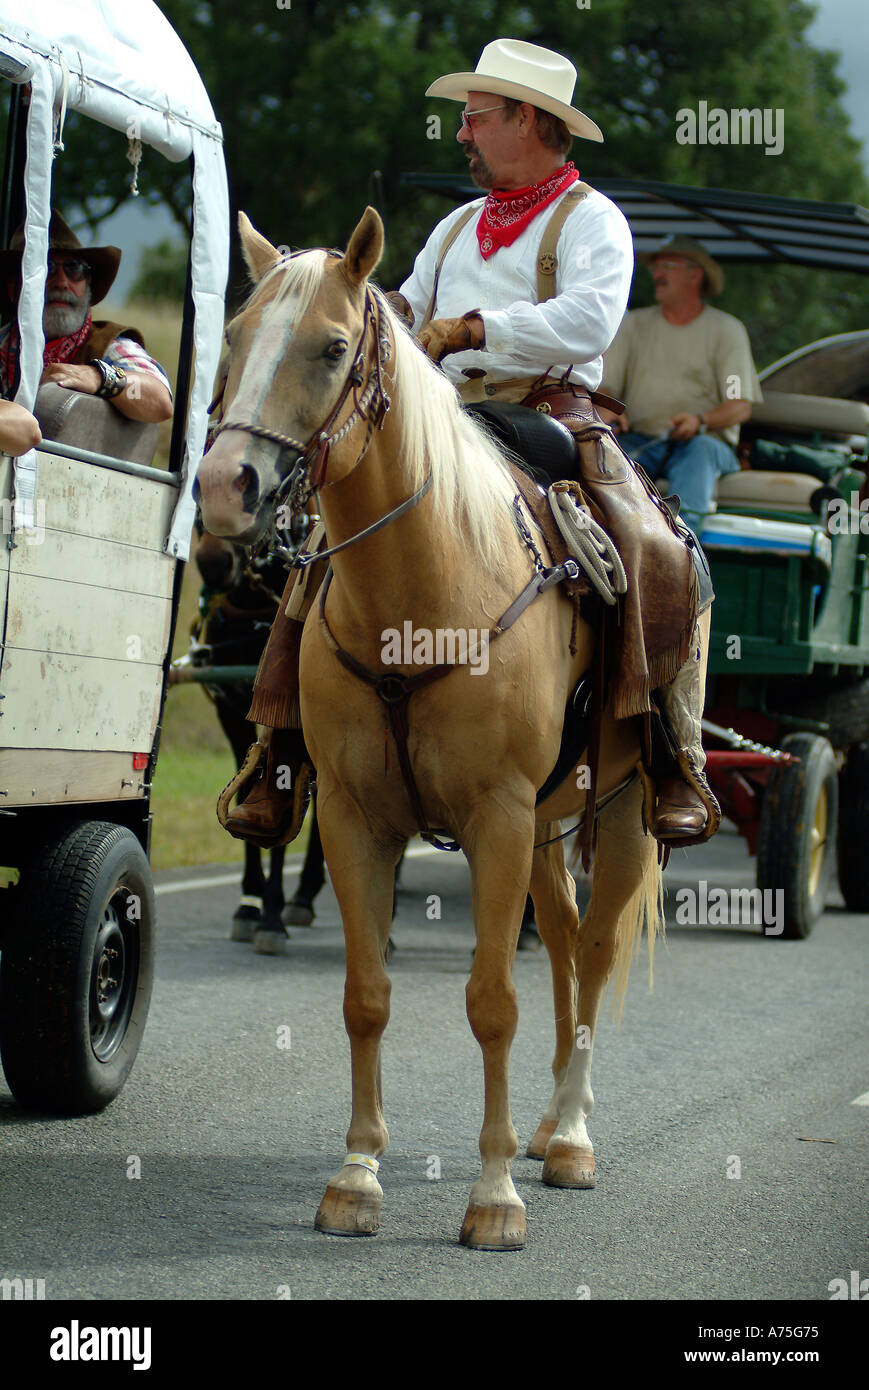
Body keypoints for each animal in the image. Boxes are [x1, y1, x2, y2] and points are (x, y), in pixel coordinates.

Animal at [196, 207, 664, 1251]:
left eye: (332, 347)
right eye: (234, 339)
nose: (222, 493)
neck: (425, 590)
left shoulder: (495, 817)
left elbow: (491, 1002)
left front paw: (492, 1197)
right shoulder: (357, 817)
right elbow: (366, 998)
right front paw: (356, 1177)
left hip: (616, 811)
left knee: (595, 948)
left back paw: (569, 1139)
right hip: (548, 823)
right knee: (562, 939)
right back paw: (545, 1125)